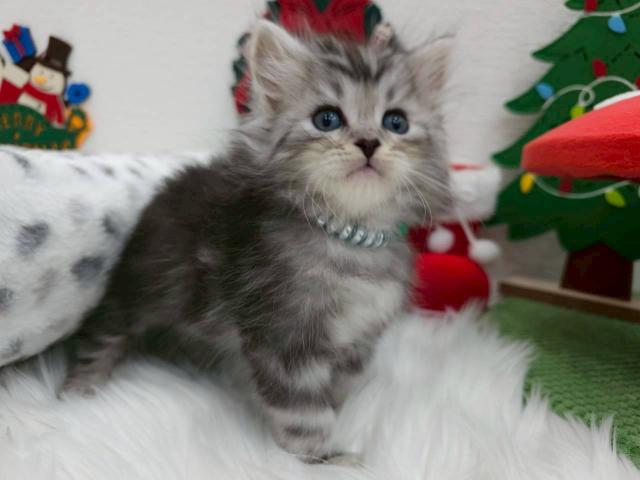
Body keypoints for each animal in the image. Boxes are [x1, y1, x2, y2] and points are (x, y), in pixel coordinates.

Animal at [62, 20, 452, 463]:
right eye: (327, 118)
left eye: (396, 122)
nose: (370, 142)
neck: (350, 238)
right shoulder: (285, 338)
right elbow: (305, 414)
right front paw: (319, 459)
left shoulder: (357, 341)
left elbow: (336, 394)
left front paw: (333, 435)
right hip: (139, 290)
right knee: (101, 334)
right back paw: (78, 390)